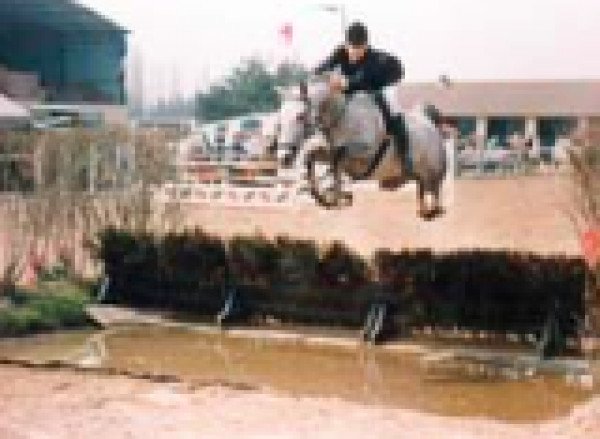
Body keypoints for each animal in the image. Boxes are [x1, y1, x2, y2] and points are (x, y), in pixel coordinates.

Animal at [274, 79, 448, 220]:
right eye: (280, 117)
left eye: (300, 116)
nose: (284, 156)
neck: (341, 118)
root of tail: (432, 124)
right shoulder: (329, 151)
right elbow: (312, 157)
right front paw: (325, 198)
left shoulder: (366, 152)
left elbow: (339, 158)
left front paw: (339, 197)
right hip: (420, 178)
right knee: (422, 193)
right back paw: (423, 210)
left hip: (434, 173)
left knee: (436, 195)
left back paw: (433, 211)